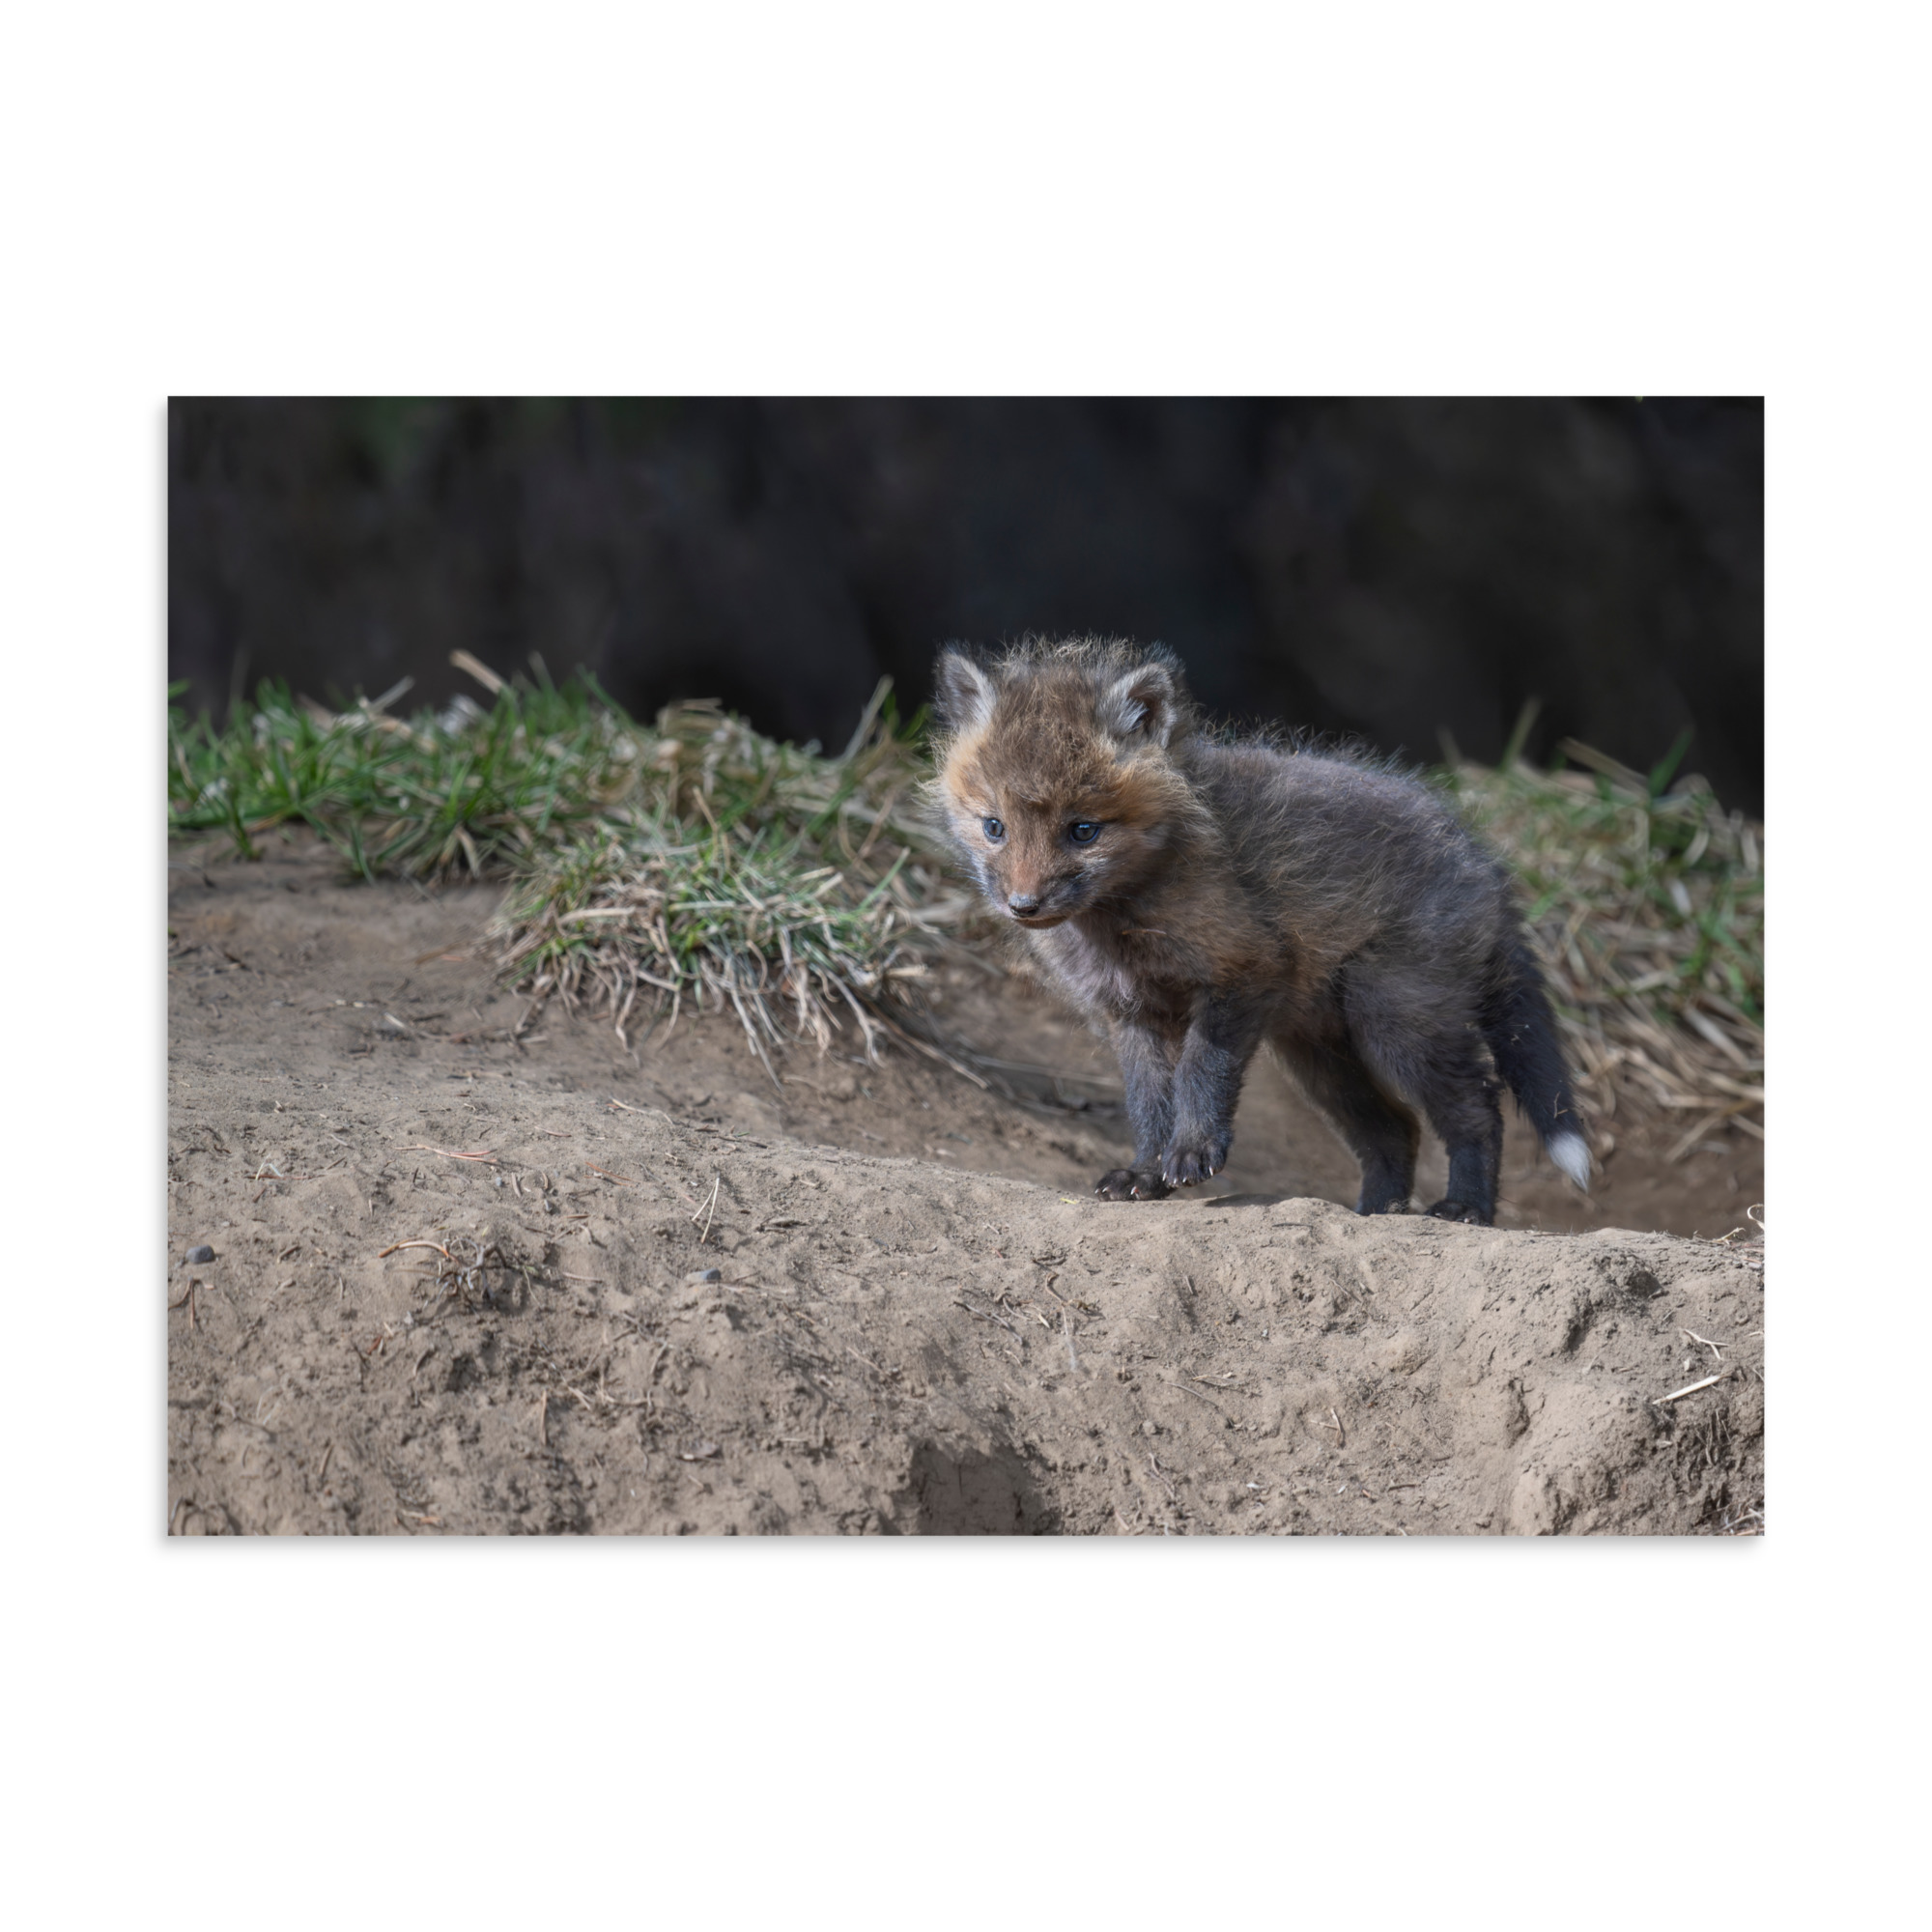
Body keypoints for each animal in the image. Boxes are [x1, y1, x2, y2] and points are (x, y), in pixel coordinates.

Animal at [928, 636, 1589, 1224]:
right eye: (994, 827)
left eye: (1083, 830)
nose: (1023, 905)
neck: (1123, 923)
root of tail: (1484, 862)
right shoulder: (1131, 1013)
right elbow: (1148, 1103)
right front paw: (1145, 1173)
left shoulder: (1243, 970)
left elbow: (1201, 1072)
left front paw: (1192, 1152)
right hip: (1320, 1055)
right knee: (1395, 1130)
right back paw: (1376, 1213)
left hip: (1397, 1022)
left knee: (1478, 1108)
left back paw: (1466, 1208)